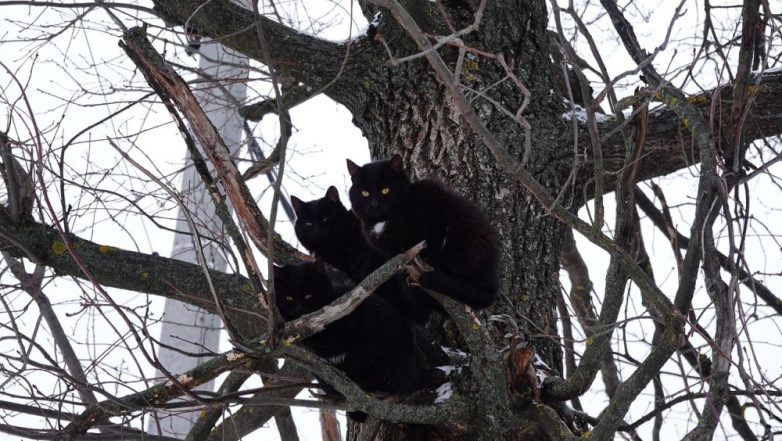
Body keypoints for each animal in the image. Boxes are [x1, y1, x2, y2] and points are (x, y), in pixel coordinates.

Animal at [348, 155, 502, 310]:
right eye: (365, 193)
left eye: (385, 190)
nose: (374, 204)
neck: (386, 220)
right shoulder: (392, 250)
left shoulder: (432, 194)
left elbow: (434, 236)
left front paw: (429, 259)